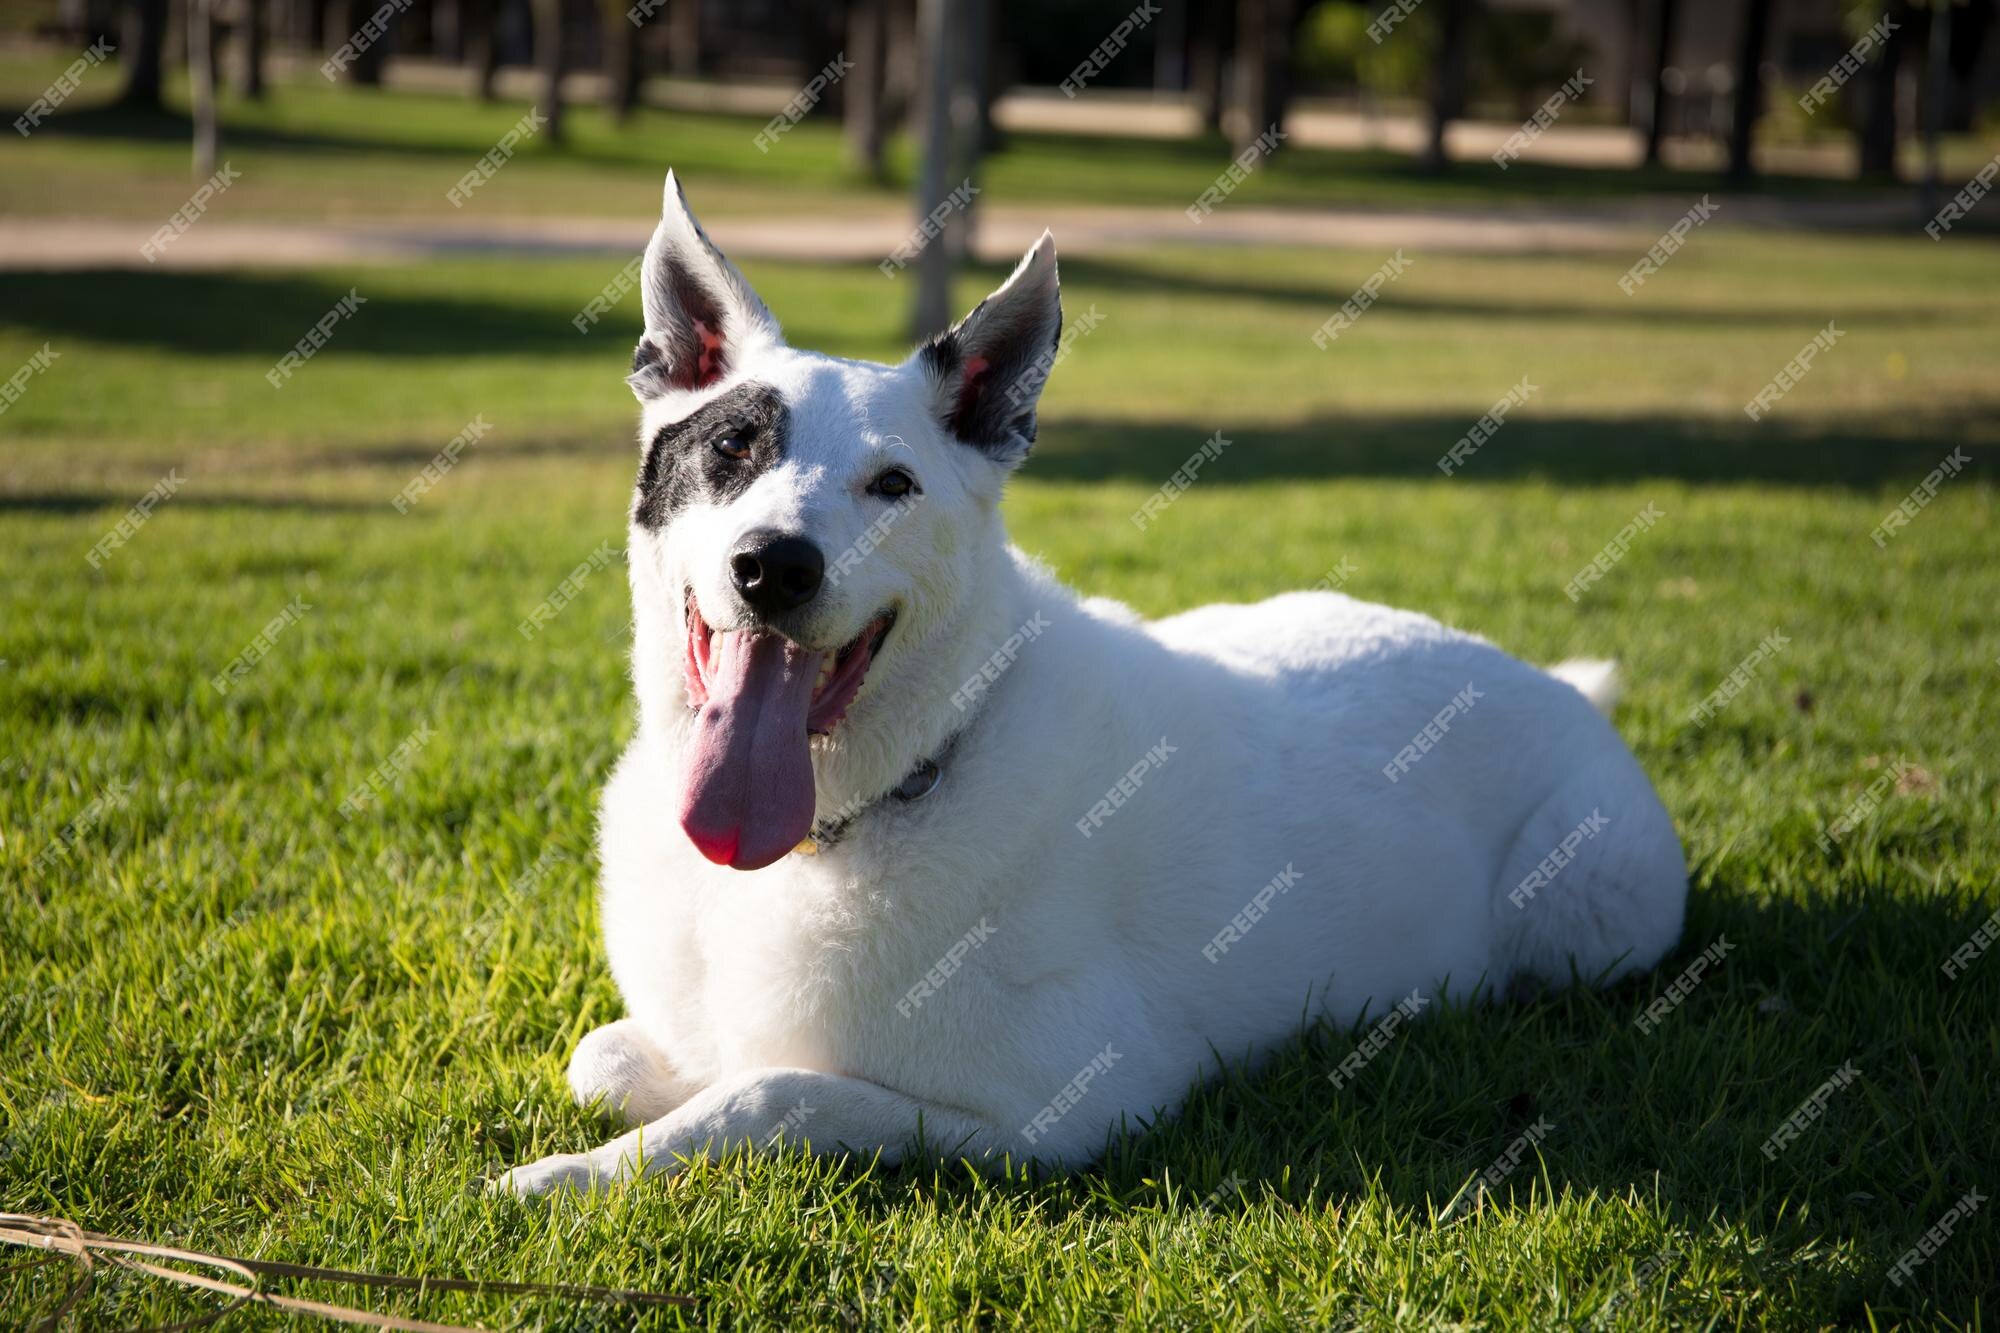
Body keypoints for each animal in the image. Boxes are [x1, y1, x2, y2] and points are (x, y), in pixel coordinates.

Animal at [492, 174, 1680, 1192]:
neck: (879, 793)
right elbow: (605, 1057)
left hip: (1588, 916)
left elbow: (773, 1092)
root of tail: (1557, 689)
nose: (774, 566)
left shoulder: (1073, 1107)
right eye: (732, 445)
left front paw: (573, 1174)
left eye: (892, 484)